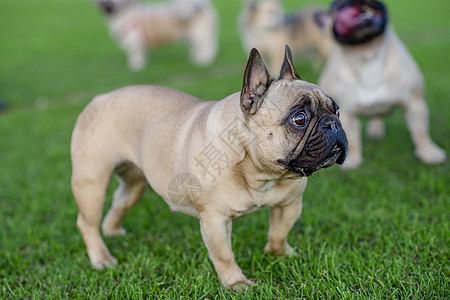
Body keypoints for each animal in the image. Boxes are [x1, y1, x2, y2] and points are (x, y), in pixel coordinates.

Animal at [71, 45, 348, 290]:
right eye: (299, 119)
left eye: (337, 110)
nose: (332, 123)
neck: (258, 172)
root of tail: (100, 98)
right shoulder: (215, 219)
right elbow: (224, 255)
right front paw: (235, 283)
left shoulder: (288, 204)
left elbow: (279, 232)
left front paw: (280, 254)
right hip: (91, 182)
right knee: (87, 223)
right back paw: (101, 258)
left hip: (134, 182)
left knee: (120, 200)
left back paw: (113, 231)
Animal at [318, 0, 448, 169]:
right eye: (333, 5)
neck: (366, 54)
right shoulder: (347, 112)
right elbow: (352, 137)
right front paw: (352, 161)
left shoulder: (415, 104)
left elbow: (421, 132)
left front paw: (429, 153)